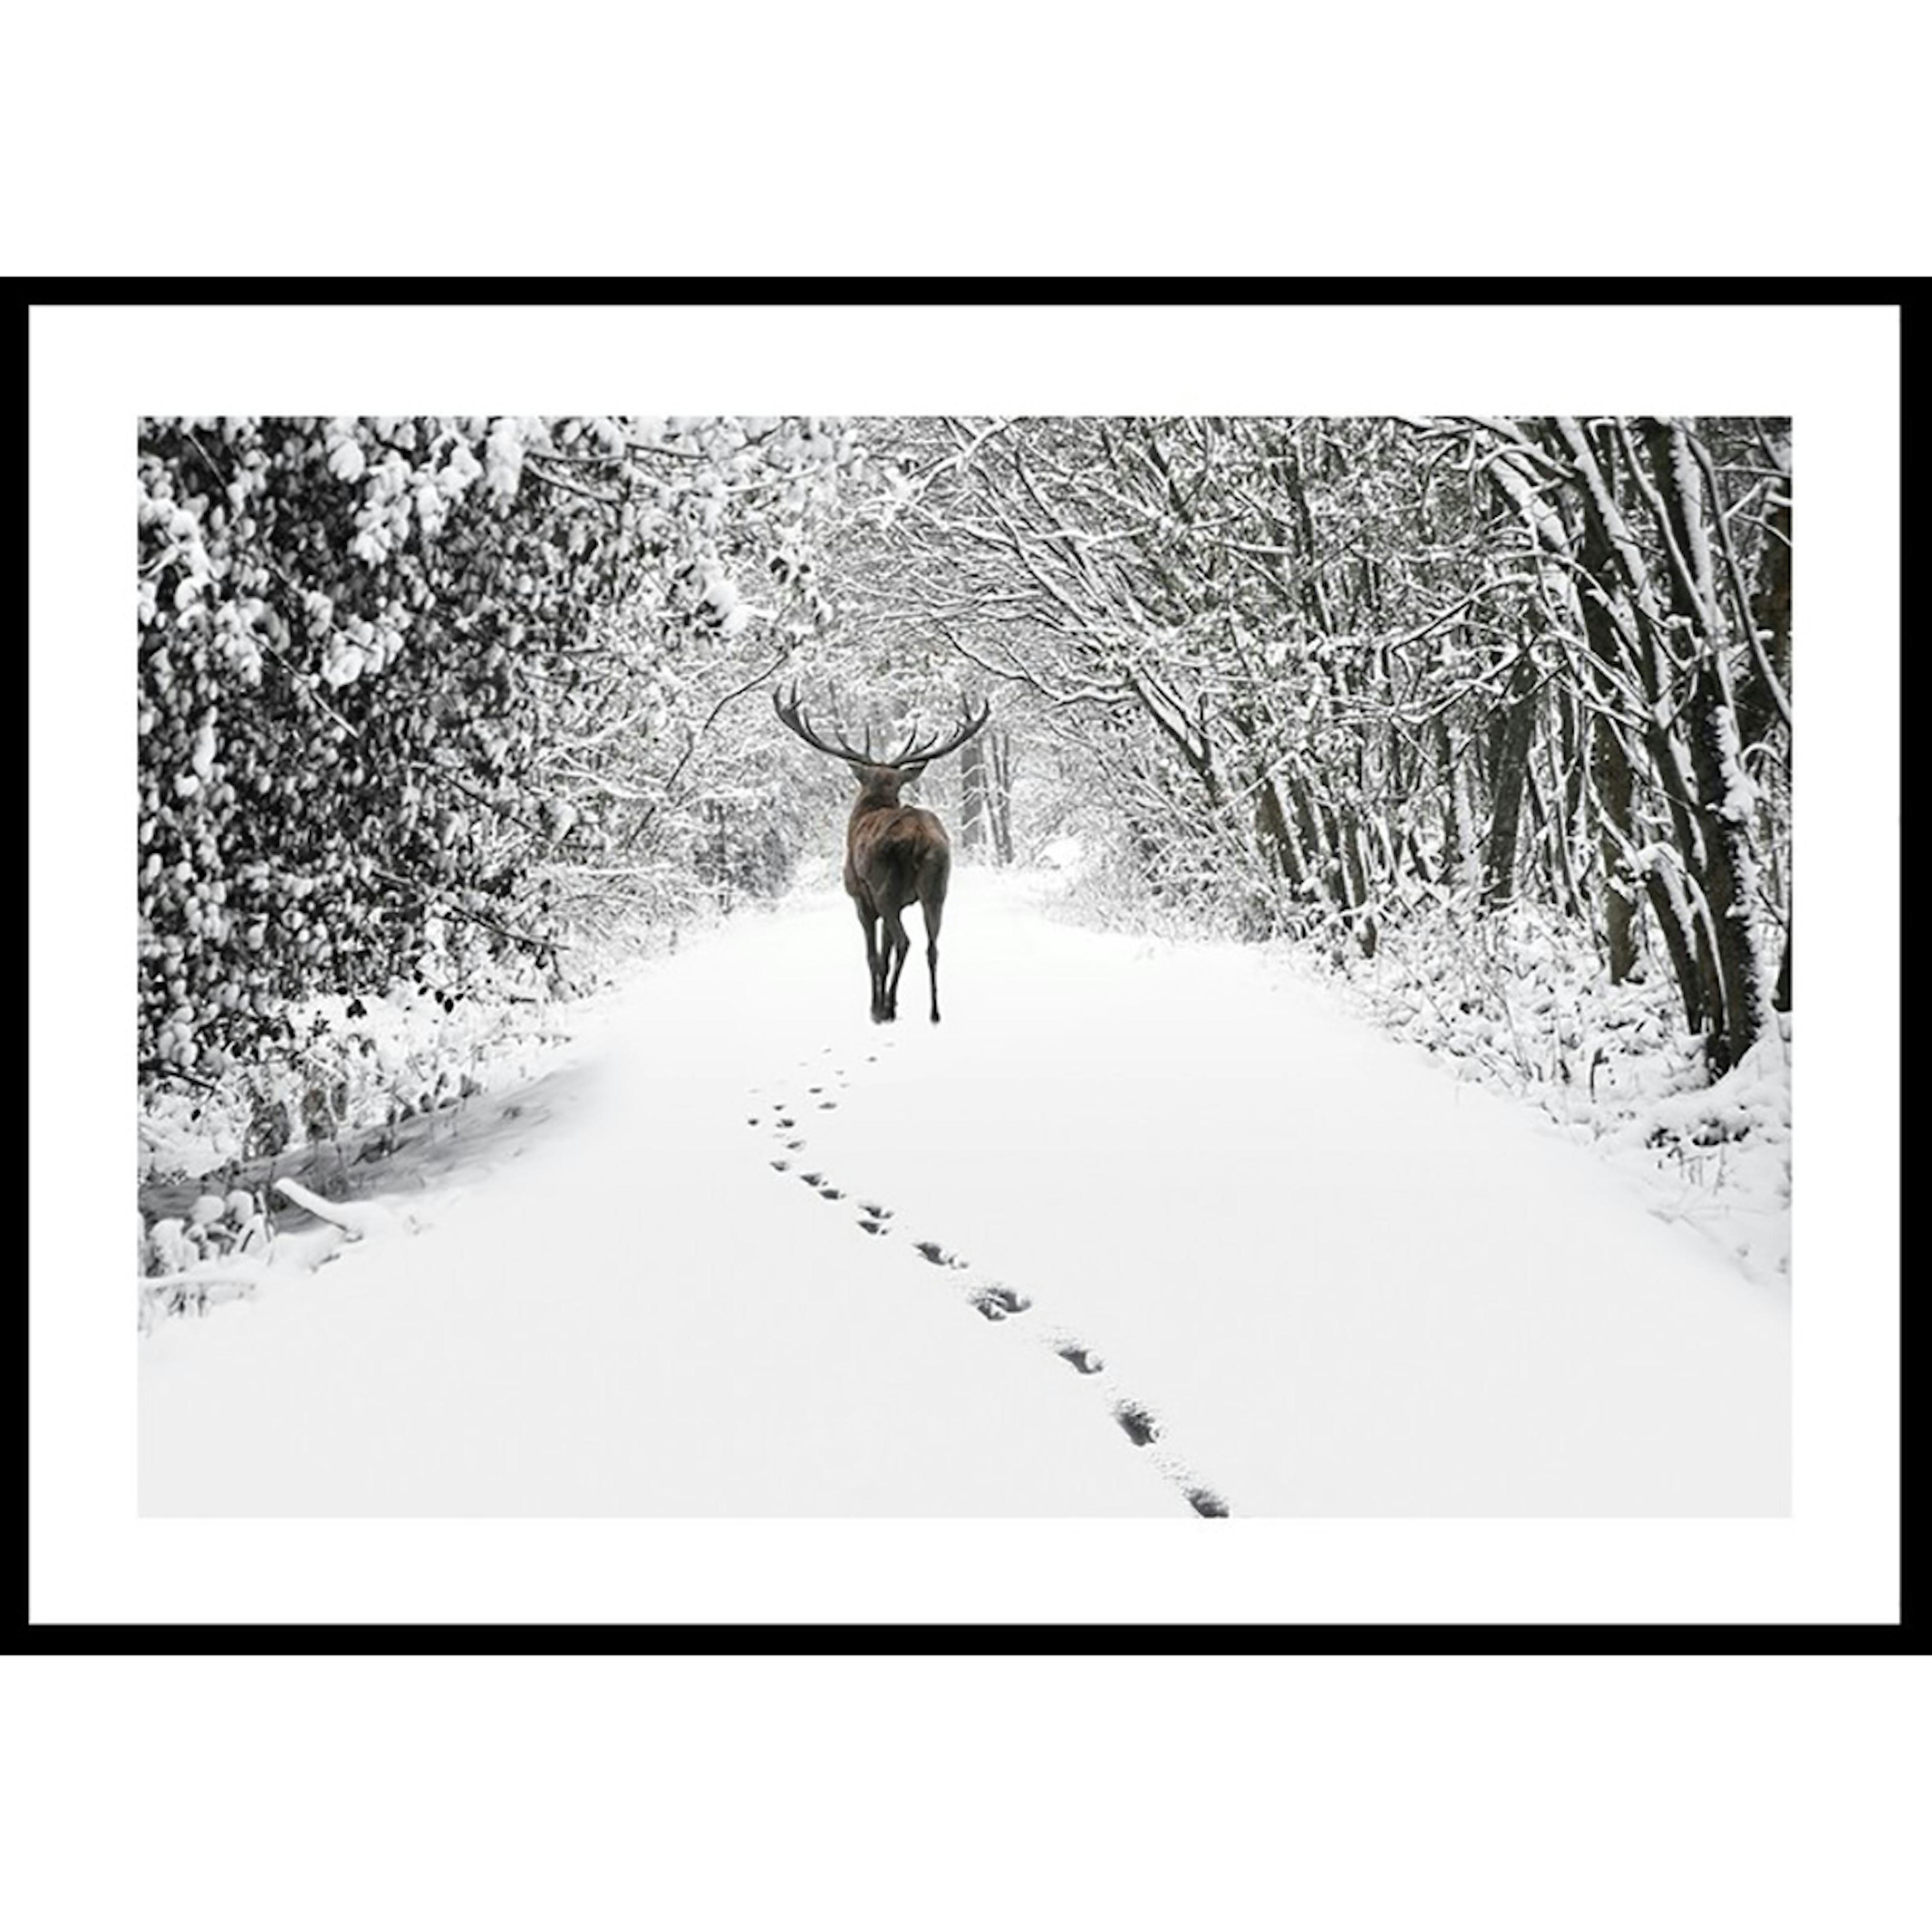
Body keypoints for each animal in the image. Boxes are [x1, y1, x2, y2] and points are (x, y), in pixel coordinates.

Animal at [773, 686, 993, 1024]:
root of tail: (918, 837)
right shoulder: (902, 902)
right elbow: (886, 953)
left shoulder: (861, 900)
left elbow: (875, 955)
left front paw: (876, 1007)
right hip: (937, 886)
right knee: (932, 946)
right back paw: (934, 1012)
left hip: (884, 886)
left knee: (906, 942)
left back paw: (886, 1008)